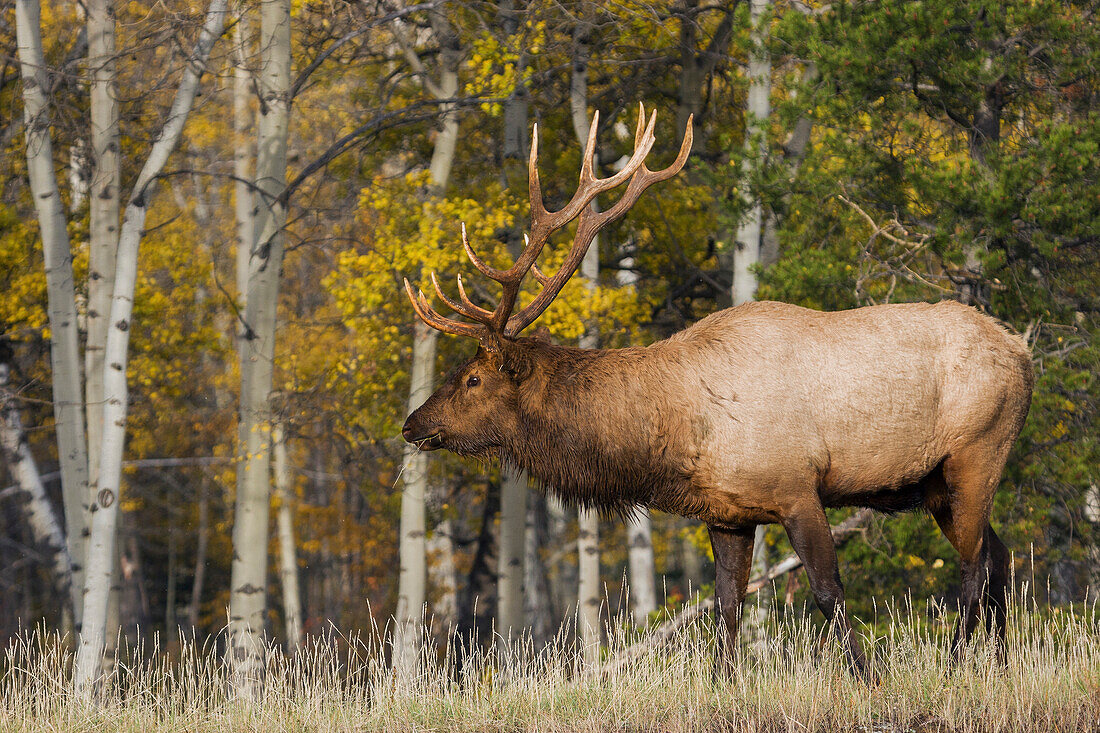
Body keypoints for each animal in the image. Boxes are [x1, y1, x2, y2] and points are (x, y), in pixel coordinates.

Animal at [400, 102, 1034, 673]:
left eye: (472, 378)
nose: (412, 424)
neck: (679, 433)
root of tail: (1023, 353)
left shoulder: (797, 487)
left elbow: (827, 591)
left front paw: (867, 678)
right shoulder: (727, 511)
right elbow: (727, 605)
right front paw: (725, 681)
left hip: (976, 451)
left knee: (976, 564)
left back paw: (957, 662)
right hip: (937, 484)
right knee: (1000, 556)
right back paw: (1000, 664)